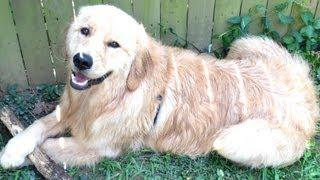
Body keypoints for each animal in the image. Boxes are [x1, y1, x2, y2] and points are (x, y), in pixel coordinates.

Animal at [0, 4, 320, 169]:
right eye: (85, 31)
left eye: (114, 44)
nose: (82, 60)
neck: (111, 94)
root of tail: (308, 99)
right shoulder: (67, 110)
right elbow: (35, 127)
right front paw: (14, 149)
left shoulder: (100, 147)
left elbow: (48, 150)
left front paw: (25, 158)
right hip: (244, 44)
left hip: (230, 139)